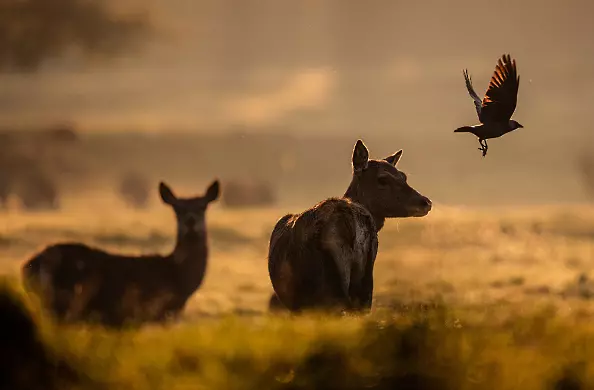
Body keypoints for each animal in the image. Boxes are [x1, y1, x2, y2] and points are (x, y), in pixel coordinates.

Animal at [20, 181, 221, 328]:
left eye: (203, 207)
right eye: (177, 209)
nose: (190, 221)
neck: (178, 278)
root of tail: (28, 266)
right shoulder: (153, 312)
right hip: (63, 302)